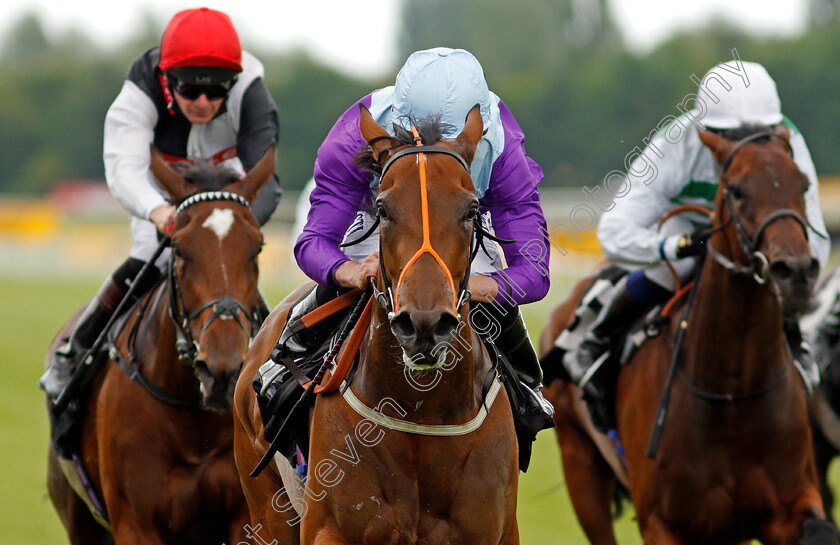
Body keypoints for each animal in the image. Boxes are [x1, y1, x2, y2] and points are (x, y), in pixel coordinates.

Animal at [46, 149, 274, 544]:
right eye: (179, 249)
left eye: (257, 247)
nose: (223, 370)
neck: (194, 423)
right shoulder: (137, 523)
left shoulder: (247, 517)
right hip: (80, 518)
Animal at [231, 104, 520, 540]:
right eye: (382, 209)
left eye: (471, 210)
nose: (424, 324)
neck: (424, 412)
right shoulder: (328, 528)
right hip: (268, 507)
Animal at [540, 124, 836, 544]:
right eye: (737, 189)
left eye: (805, 183)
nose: (794, 271)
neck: (730, 393)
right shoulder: (663, 523)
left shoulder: (789, 507)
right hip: (580, 466)